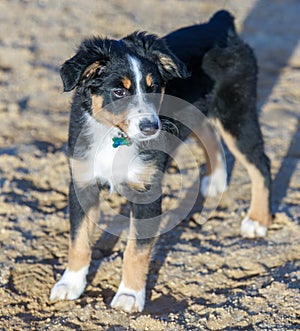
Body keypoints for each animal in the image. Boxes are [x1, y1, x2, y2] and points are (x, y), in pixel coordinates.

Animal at [51, 9, 272, 312]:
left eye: (154, 88)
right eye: (119, 92)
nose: (151, 127)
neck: (113, 136)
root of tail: (218, 23)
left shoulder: (148, 190)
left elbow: (136, 249)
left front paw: (129, 296)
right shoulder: (82, 181)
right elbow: (79, 239)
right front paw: (70, 284)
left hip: (236, 114)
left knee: (261, 163)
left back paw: (257, 221)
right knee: (210, 136)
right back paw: (215, 182)